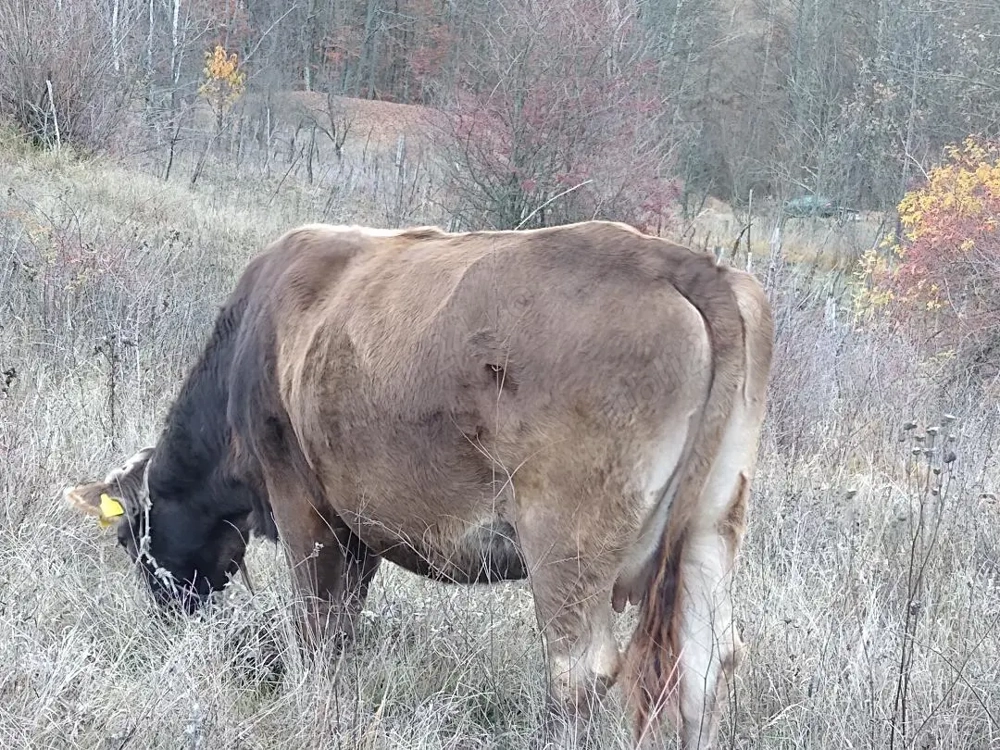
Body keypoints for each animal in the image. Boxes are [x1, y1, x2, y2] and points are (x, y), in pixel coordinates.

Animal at [63, 220, 773, 749]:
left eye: (129, 539)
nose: (167, 620)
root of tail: (679, 261)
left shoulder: (300, 499)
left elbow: (315, 624)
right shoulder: (358, 524)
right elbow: (342, 624)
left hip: (568, 542)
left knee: (579, 671)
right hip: (711, 526)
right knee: (707, 663)